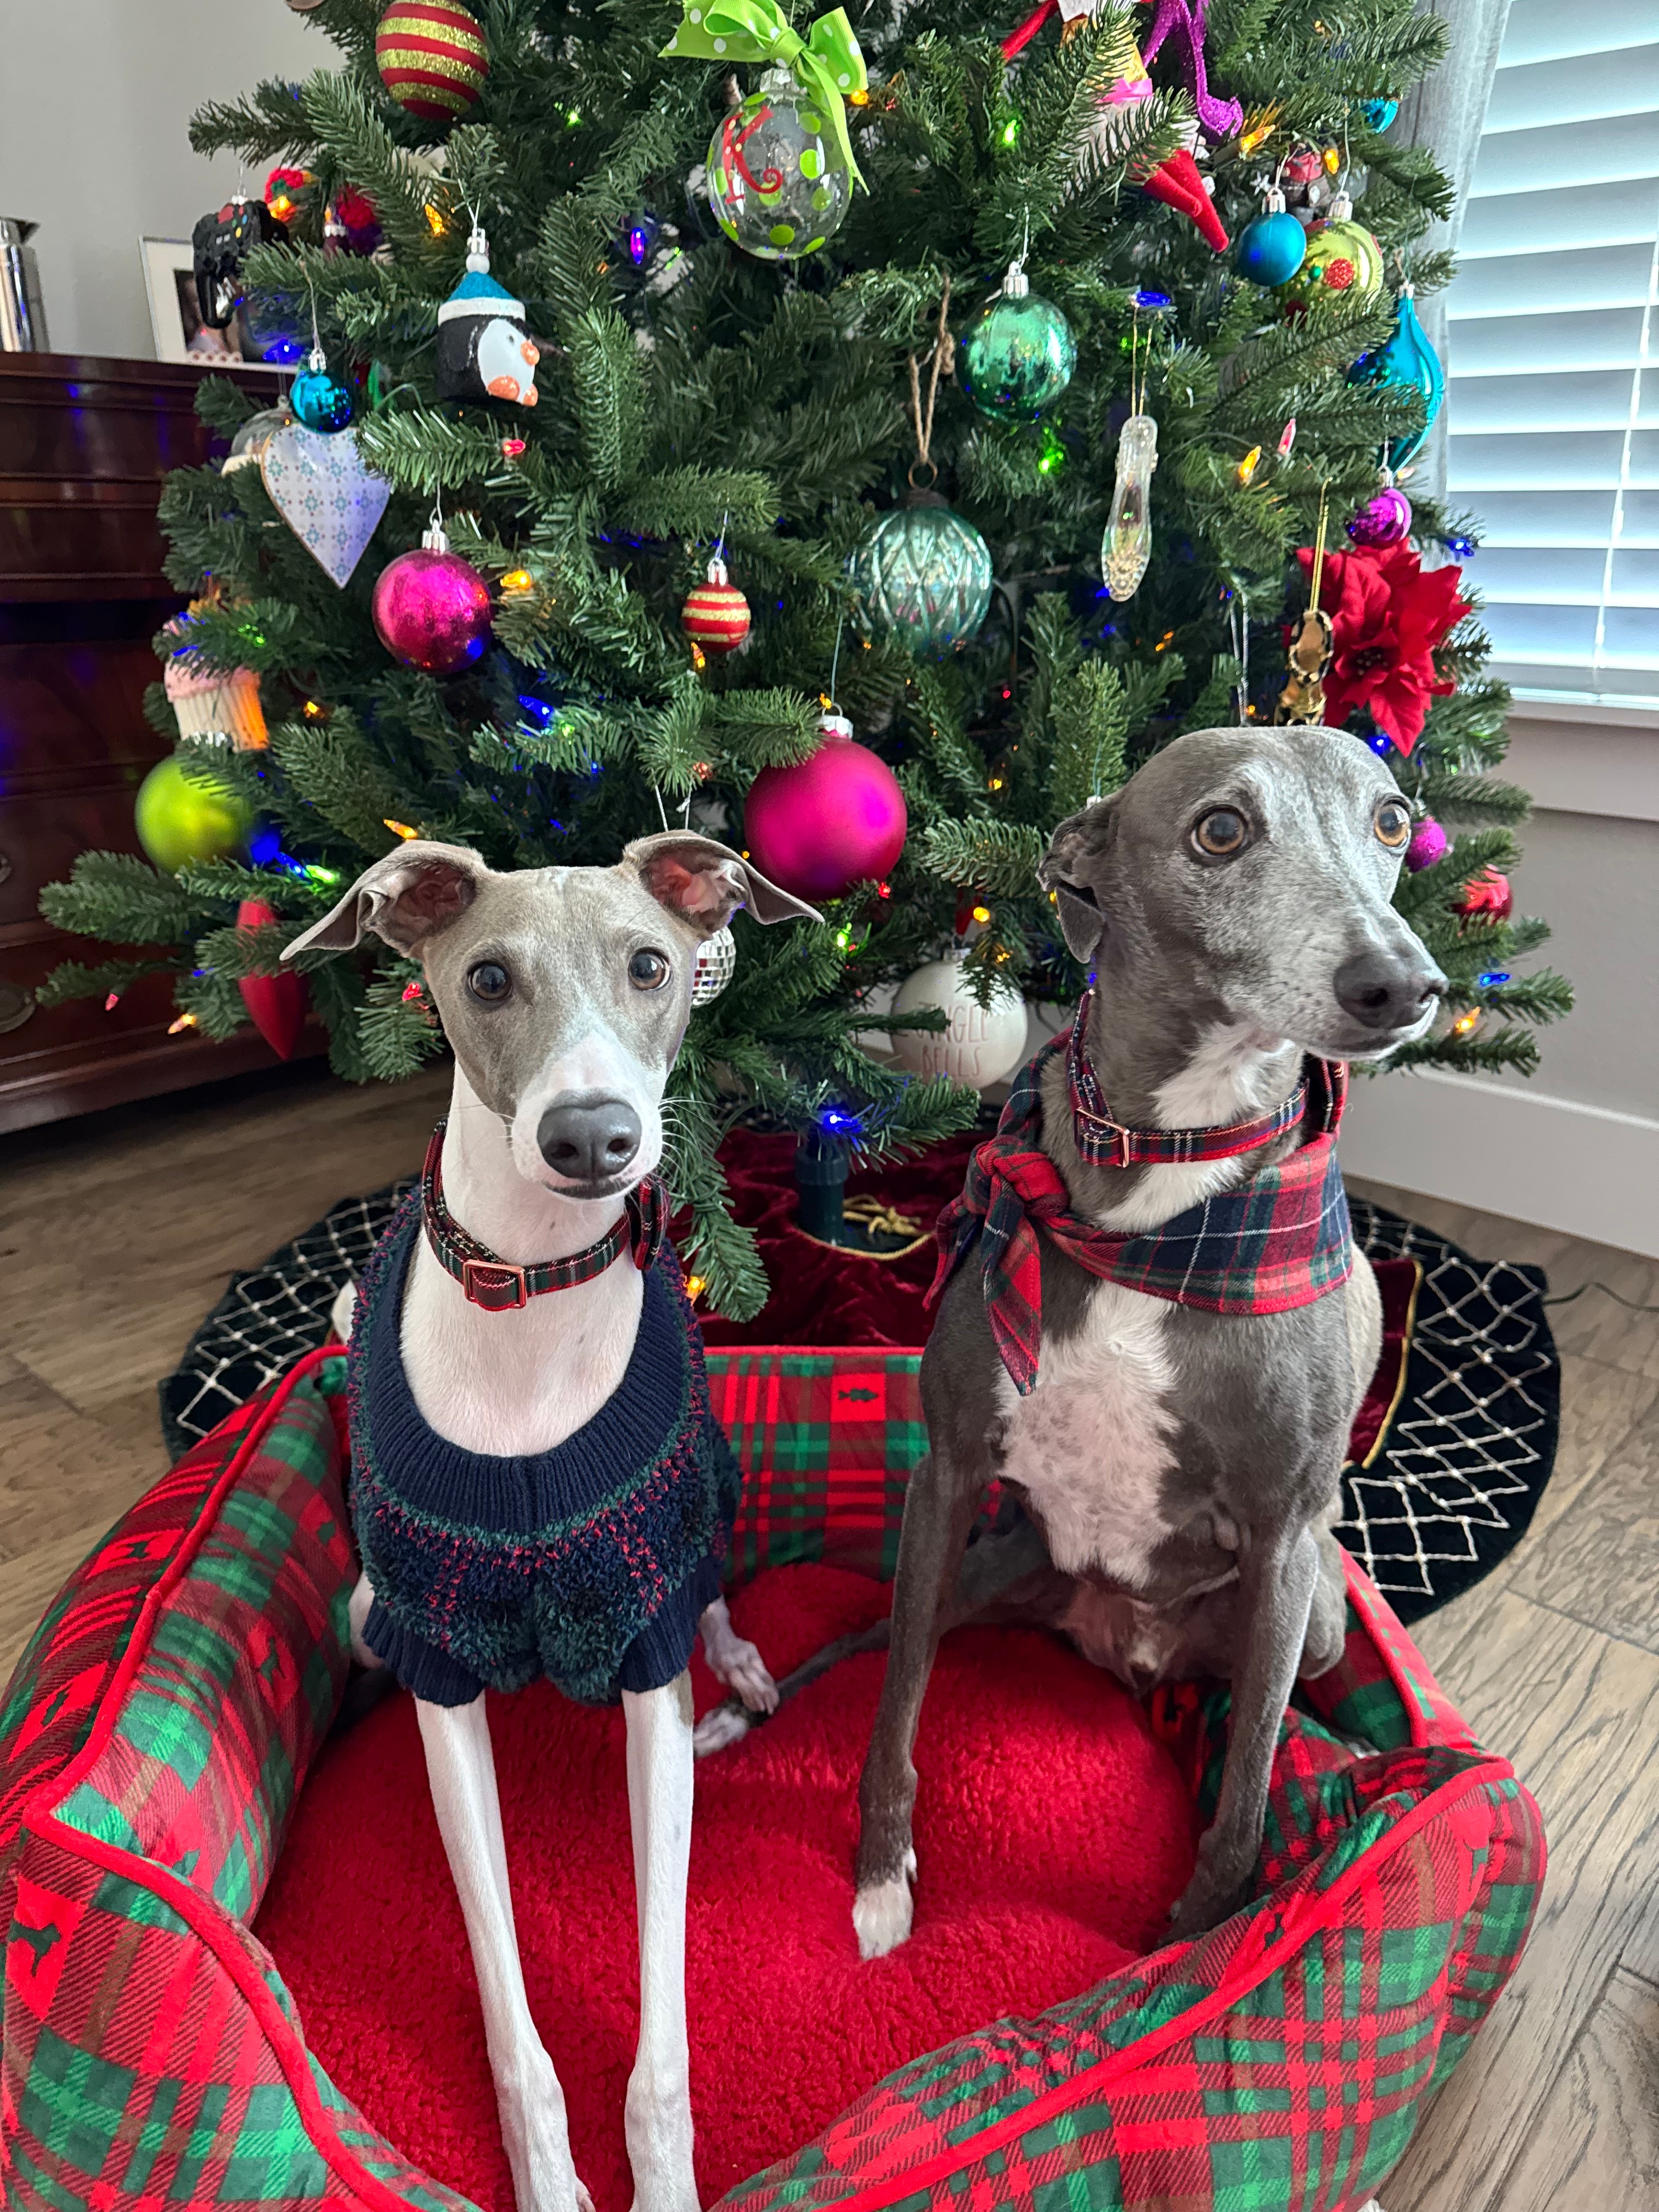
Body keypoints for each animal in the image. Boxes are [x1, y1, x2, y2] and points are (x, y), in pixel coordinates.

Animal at [292, 836, 832, 2212]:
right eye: (486, 977)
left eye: (651, 966)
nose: (594, 1136)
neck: (531, 1297)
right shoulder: (440, 1687)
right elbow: (507, 2007)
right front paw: (548, 2179)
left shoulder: (645, 1666)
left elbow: (662, 2030)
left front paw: (661, 2179)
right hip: (375, 1612)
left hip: (711, 1485)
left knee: (714, 1590)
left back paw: (748, 1663)